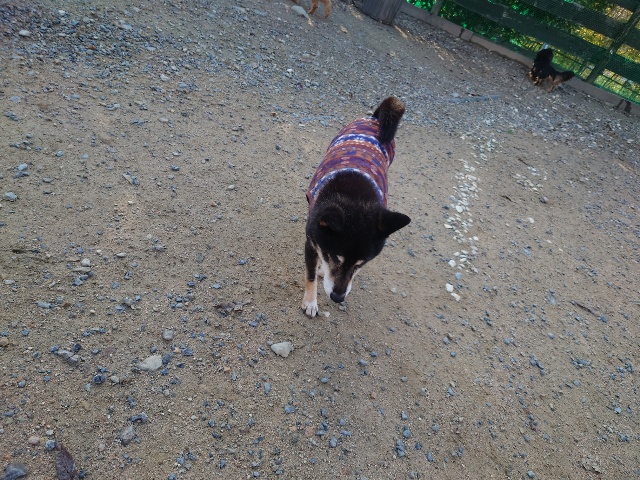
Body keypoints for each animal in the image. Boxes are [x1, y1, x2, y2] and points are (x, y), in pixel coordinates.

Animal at [302, 97, 411, 318]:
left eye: (361, 264)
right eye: (336, 257)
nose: (337, 298)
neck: (356, 199)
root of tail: (375, 117)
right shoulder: (311, 241)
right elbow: (310, 275)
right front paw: (310, 302)